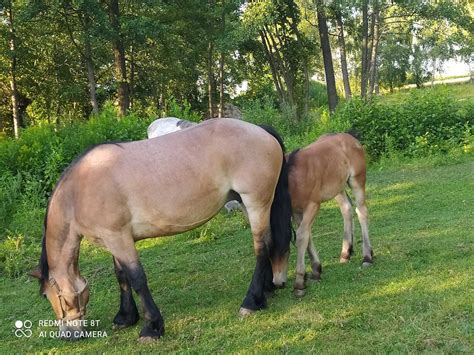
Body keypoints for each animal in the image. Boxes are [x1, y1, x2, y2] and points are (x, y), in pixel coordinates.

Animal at [30, 119, 292, 342]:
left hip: (255, 203)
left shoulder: (119, 238)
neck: (79, 191)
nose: (67, 335)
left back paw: (251, 301)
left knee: (261, 248)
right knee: (268, 244)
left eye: (47, 296)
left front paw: (151, 327)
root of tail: (259, 129)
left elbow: (137, 278)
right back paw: (265, 291)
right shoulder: (114, 240)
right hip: (250, 205)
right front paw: (125, 317)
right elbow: (122, 276)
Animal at [288, 134, 374, 298]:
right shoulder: (296, 211)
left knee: (361, 211)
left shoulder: (312, 205)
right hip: (337, 188)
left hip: (357, 181)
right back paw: (346, 253)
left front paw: (299, 283)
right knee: (347, 209)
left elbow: (302, 236)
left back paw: (367, 257)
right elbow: (307, 235)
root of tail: (351, 137)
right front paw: (316, 271)